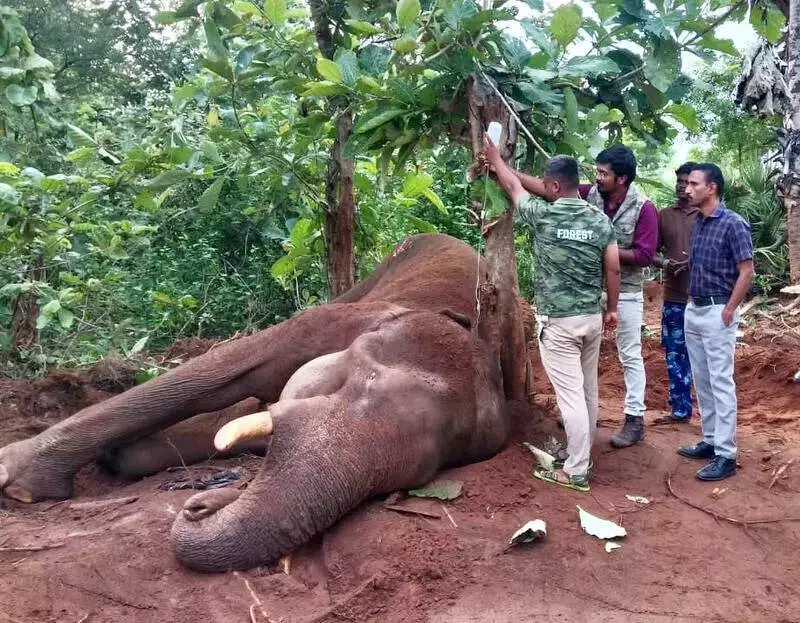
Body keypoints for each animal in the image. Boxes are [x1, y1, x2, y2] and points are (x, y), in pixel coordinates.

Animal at [0, 233, 518, 572]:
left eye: (426, 471)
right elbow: (230, 367)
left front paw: (121, 456)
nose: (200, 504)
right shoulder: (334, 321)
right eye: (363, 380)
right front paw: (21, 480)